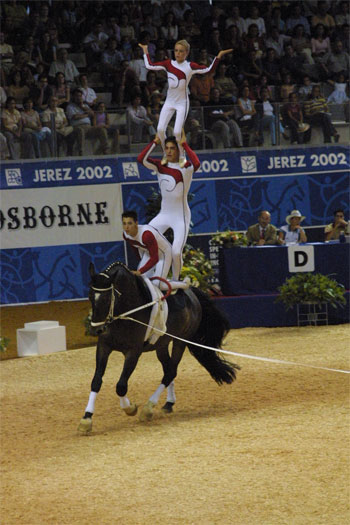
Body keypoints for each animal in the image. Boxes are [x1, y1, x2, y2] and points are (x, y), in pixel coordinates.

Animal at [78, 260, 239, 432]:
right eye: (90, 296)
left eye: (108, 299)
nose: (96, 329)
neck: (125, 312)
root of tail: (193, 292)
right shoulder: (104, 347)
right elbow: (96, 381)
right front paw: (86, 418)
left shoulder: (133, 352)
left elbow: (121, 386)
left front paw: (130, 408)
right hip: (161, 345)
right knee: (168, 370)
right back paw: (168, 403)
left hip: (181, 341)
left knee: (170, 372)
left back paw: (148, 408)